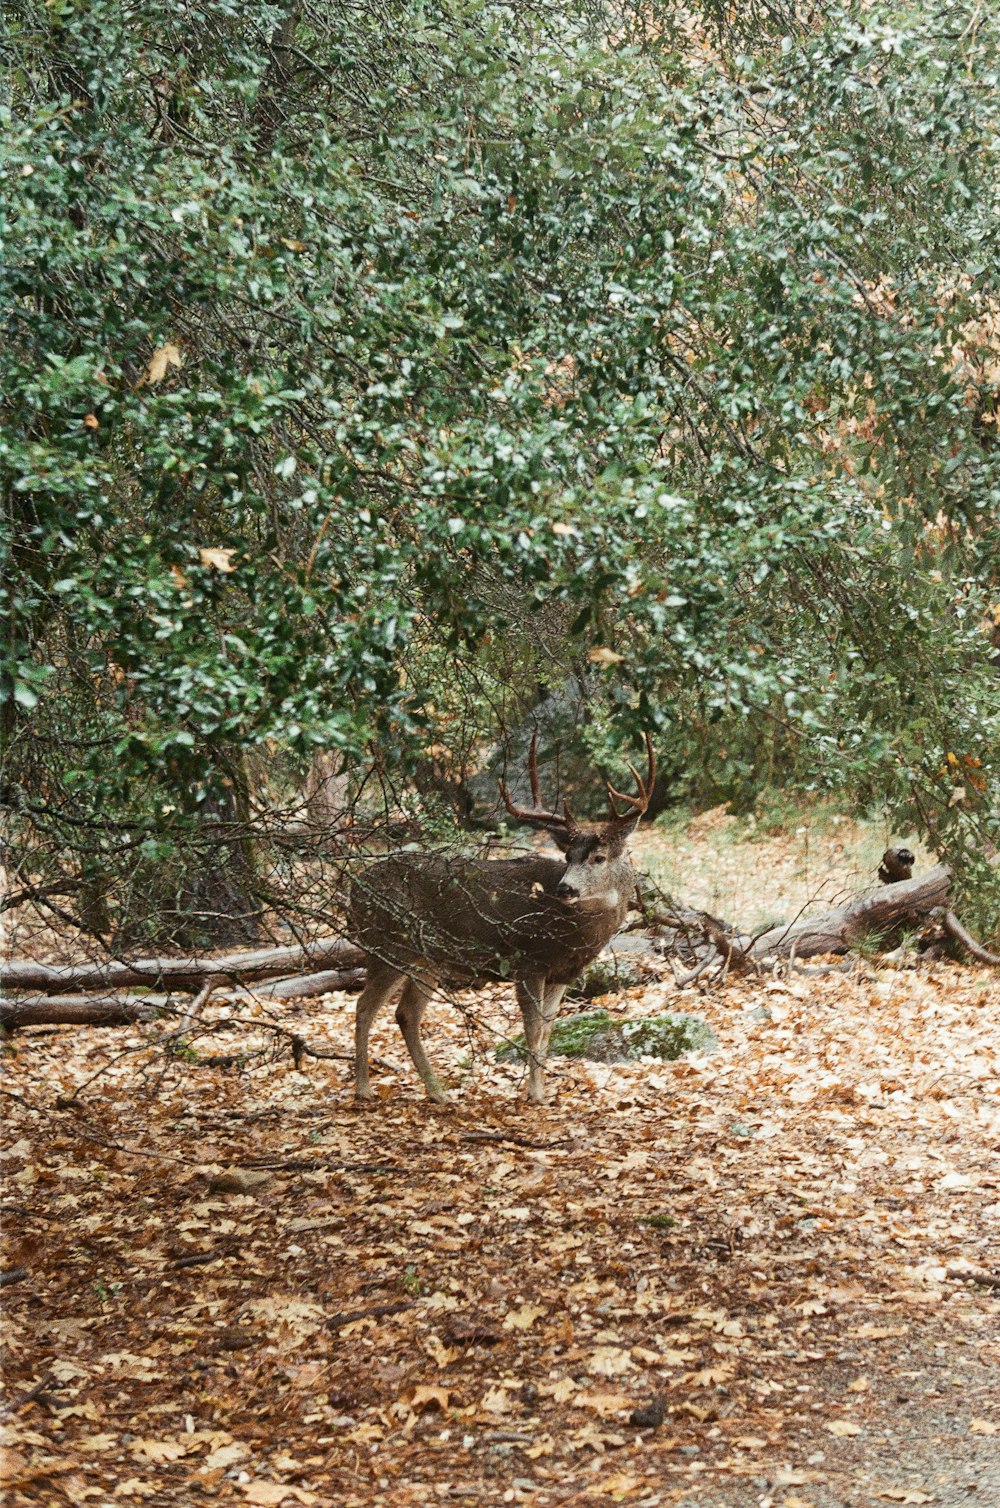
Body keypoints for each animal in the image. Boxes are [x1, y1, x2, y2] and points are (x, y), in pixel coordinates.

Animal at [351, 732, 657, 1103]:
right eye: (568, 856)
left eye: (598, 857)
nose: (565, 888)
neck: (573, 935)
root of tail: (353, 889)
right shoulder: (528, 961)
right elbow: (533, 1029)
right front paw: (535, 1094)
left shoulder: (562, 974)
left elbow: (548, 1032)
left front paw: (542, 1090)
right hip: (389, 945)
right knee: (365, 1006)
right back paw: (364, 1089)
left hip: (425, 960)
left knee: (405, 1013)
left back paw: (439, 1093)